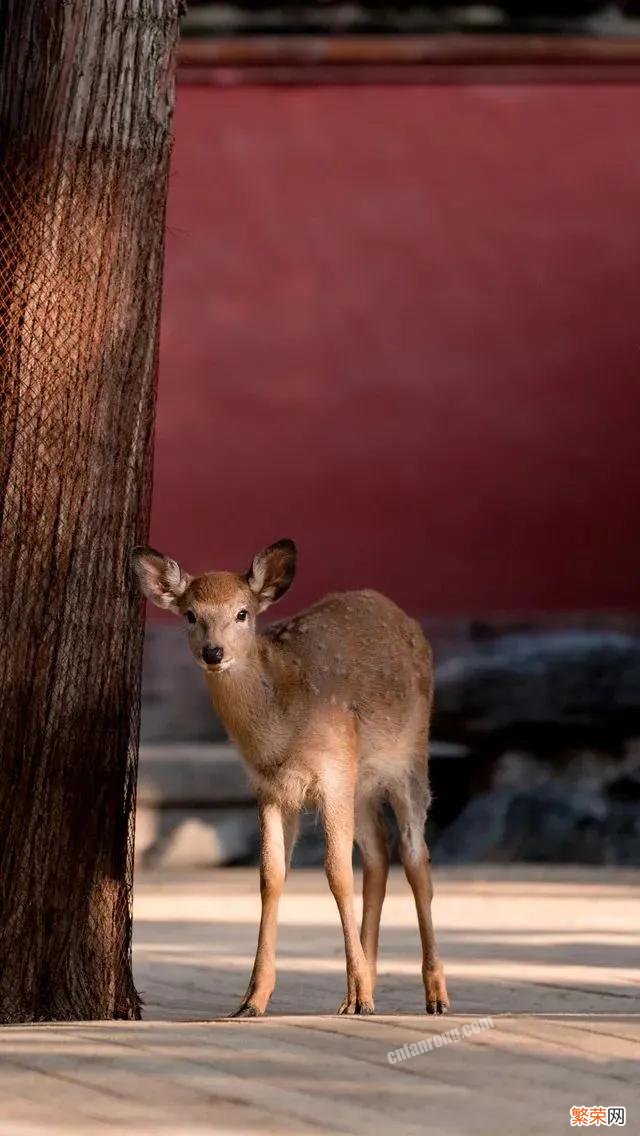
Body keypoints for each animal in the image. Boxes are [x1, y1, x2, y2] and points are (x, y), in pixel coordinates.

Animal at [131, 540, 447, 1022]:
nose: (213, 652)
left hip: (409, 756)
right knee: (379, 850)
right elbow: (271, 876)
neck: (282, 732)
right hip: (361, 783)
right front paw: (252, 1000)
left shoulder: (333, 771)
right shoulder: (269, 788)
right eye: (190, 614)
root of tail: (399, 614)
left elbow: (337, 872)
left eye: (242, 612)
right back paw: (360, 991)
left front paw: (360, 994)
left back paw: (434, 995)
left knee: (416, 856)